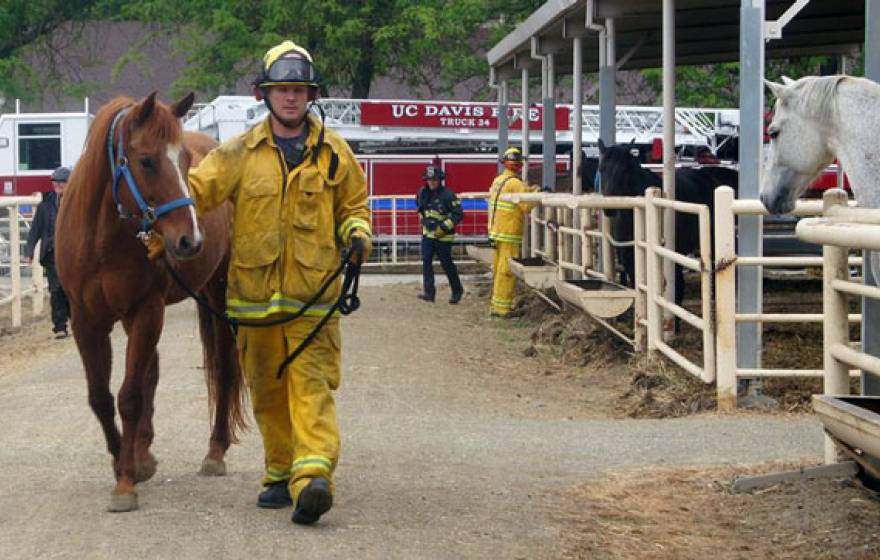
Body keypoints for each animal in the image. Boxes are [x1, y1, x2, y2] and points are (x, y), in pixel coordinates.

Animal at [56, 93, 246, 512]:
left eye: (185, 160)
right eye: (146, 160)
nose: (190, 239)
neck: (101, 235)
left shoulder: (145, 310)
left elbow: (129, 396)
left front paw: (125, 481)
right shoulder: (86, 322)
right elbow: (101, 397)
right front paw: (123, 461)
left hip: (217, 295)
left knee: (223, 368)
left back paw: (215, 451)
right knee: (151, 374)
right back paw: (143, 451)